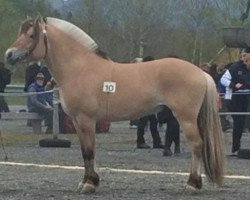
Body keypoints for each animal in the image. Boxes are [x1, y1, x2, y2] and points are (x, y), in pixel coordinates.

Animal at [4, 15, 225, 194]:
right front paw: (87, 182)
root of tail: (200, 72)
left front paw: (89, 185)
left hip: (186, 118)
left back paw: (192, 185)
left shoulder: (86, 120)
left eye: (31, 35)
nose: (8, 54)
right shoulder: (77, 121)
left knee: (197, 146)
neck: (81, 68)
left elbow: (89, 151)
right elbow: (85, 151)